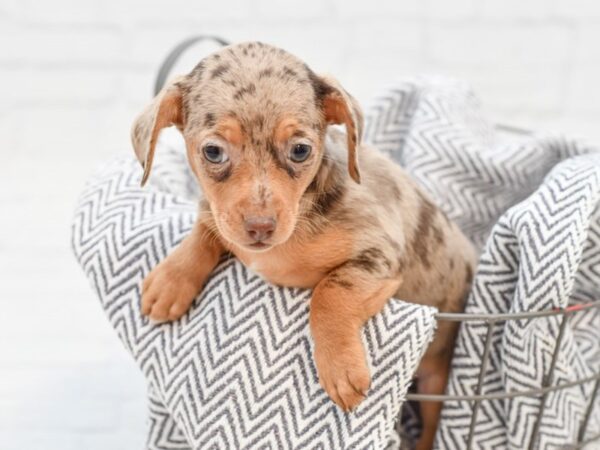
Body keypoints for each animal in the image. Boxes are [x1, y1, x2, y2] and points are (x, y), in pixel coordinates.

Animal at [132, 42, 478, 450]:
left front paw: (341, 367)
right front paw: (171, 281)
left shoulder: (380, 255)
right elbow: (207, 228)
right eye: (213, 152)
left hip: (437, 384)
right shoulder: (220, 218)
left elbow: (330, 293)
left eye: (300, 150)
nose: (260, 226)